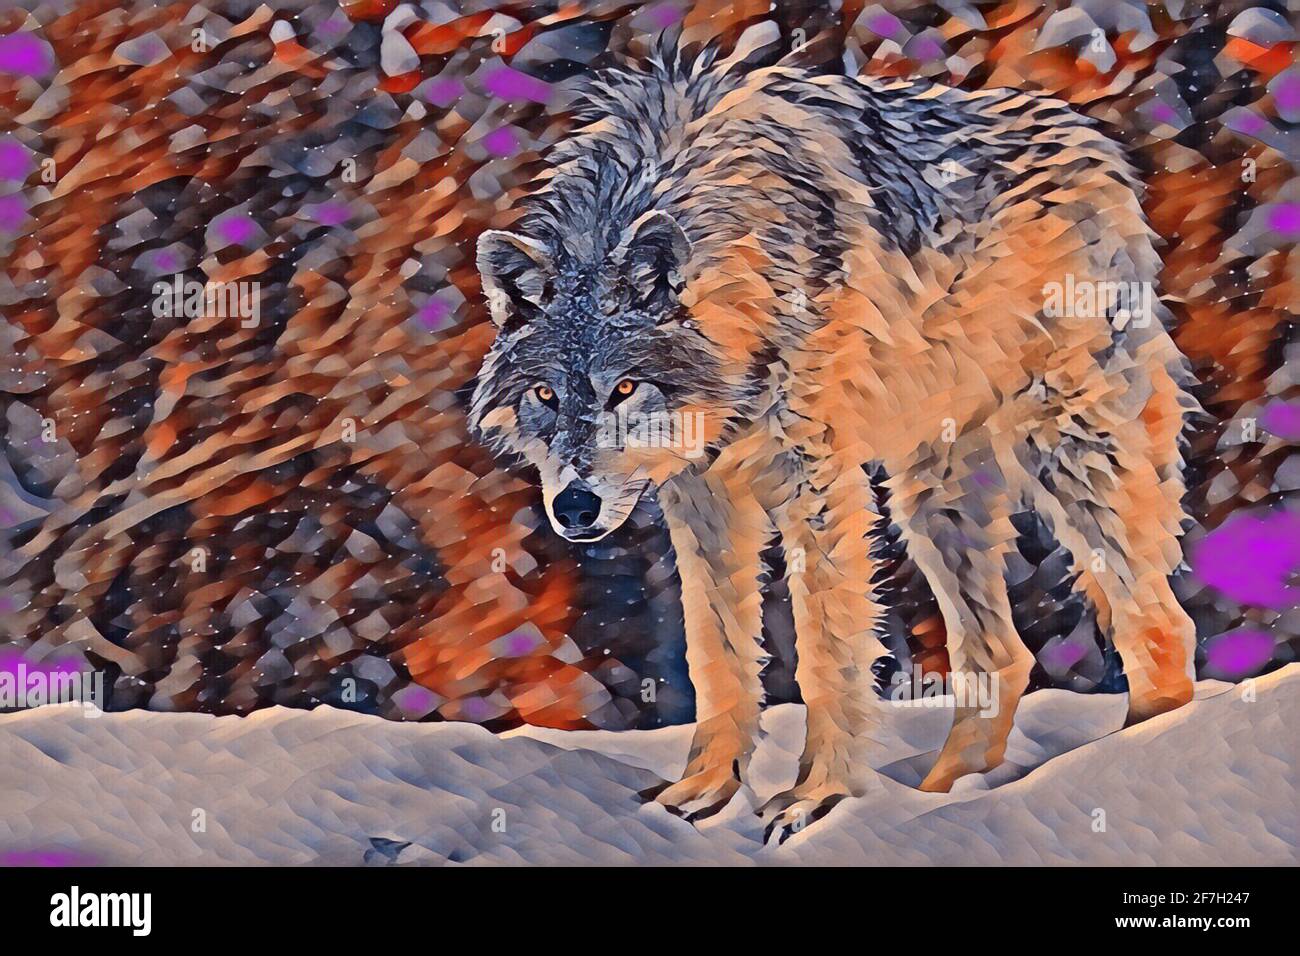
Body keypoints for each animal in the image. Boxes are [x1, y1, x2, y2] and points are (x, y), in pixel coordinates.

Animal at [469, 38, 1198, 840]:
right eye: (547, 396)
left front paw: (818, 797)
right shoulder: (702, 497)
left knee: (1158, 622)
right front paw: (700, 794)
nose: (573, 508)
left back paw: (1136, 764)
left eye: (624, 389)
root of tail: (1096, 143)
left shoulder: (817, 481)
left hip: (1070, 454)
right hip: (932, 504)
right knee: (1002, 656)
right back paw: (937, 801)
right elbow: (715, 654)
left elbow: (825, 651)